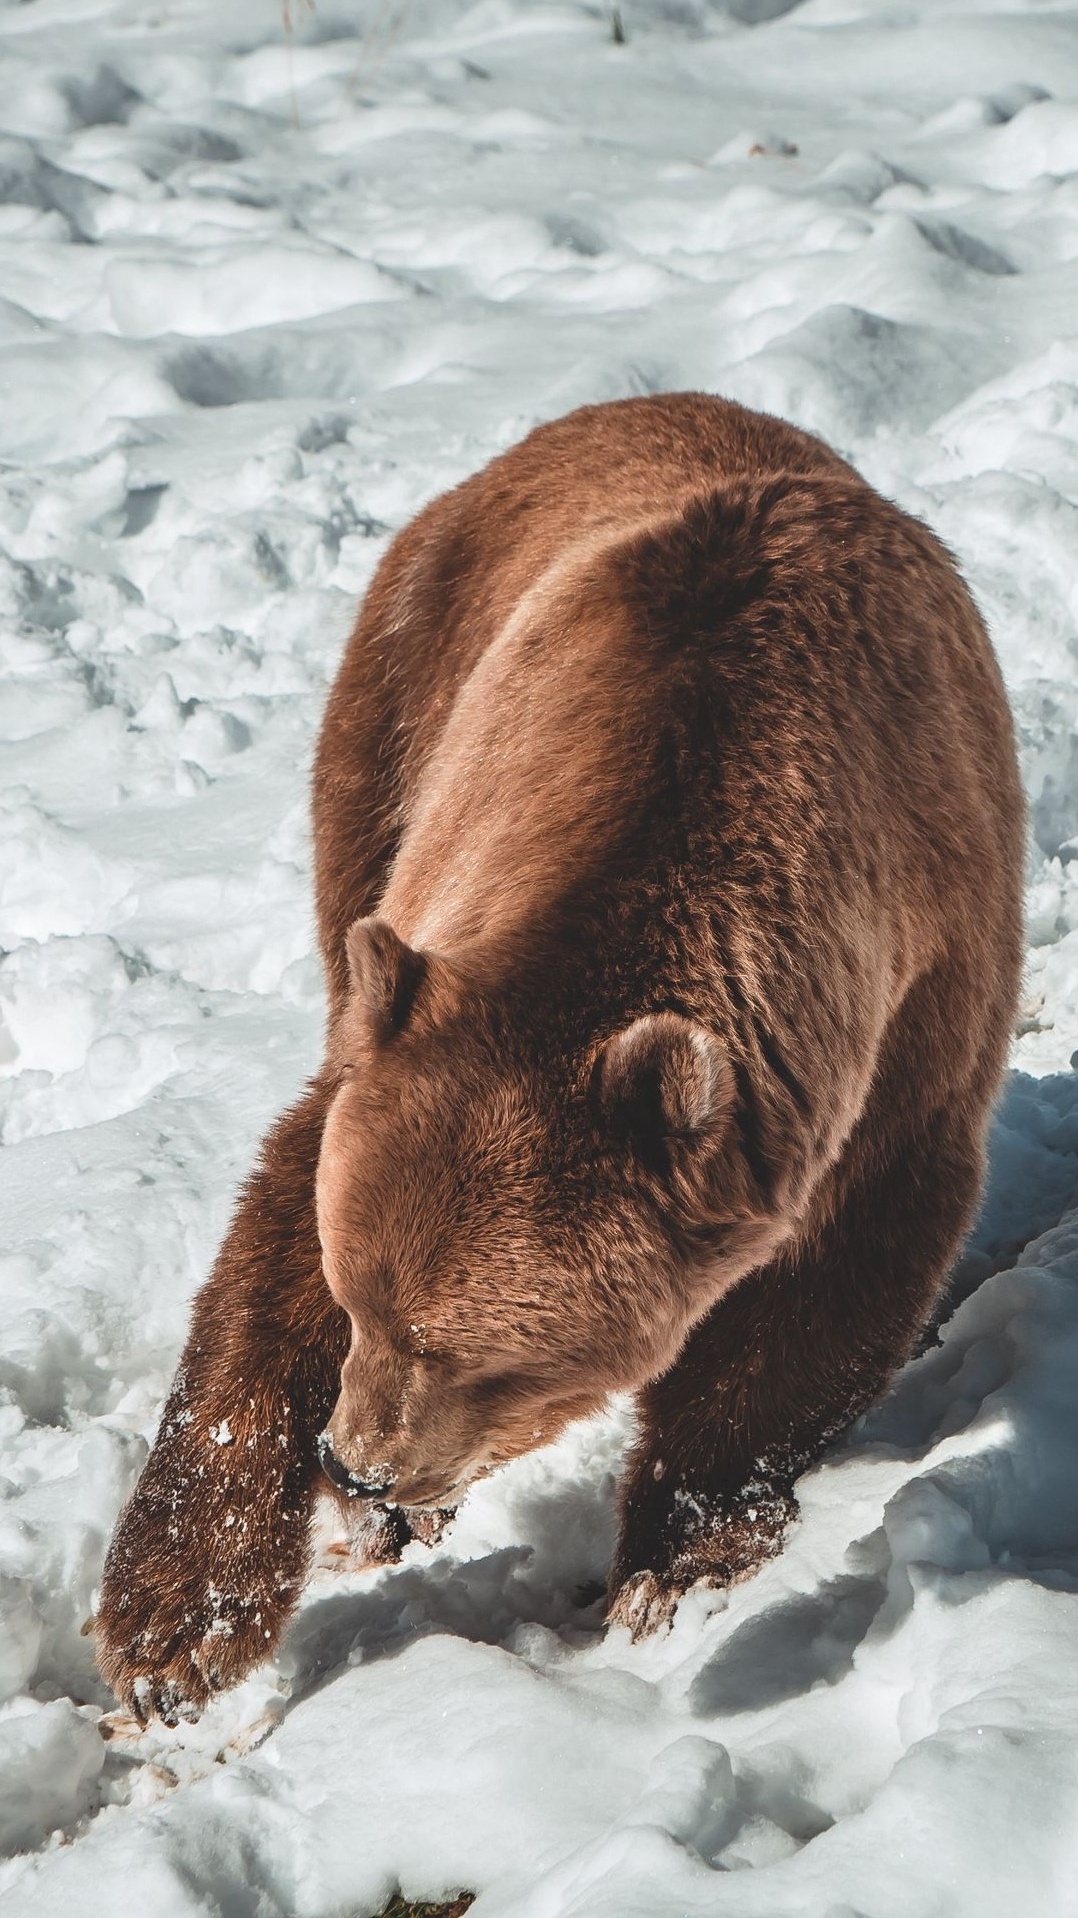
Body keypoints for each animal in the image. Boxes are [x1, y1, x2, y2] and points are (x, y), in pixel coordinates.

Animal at [96, 389, 1020, 1726]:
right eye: (362, 1298)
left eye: (471, 1351)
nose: (358, 1463)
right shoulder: (429, 956)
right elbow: (273, 1231)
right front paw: (174, 1630)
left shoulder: (906, 1025)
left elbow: (814, 1305)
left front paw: (674, 1569)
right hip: (396, 711)